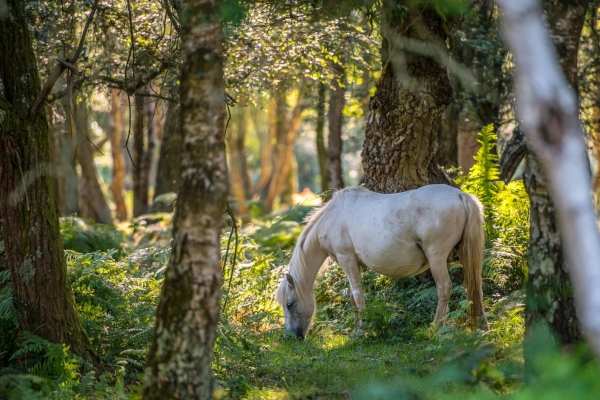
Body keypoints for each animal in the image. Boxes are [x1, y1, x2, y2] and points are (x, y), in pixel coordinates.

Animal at [276, 184, 488, 338]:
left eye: (290, 304)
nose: (292, 337)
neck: (332, 217)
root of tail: (460, 195)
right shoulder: (354, 264)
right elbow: (353, 298)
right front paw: (356, 329)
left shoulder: (347, 259)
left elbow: (357, 296)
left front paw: (362, 330)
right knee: (475, 286)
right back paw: (482, 325)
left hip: (437, 257)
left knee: (444, 287)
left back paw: (435, 327)